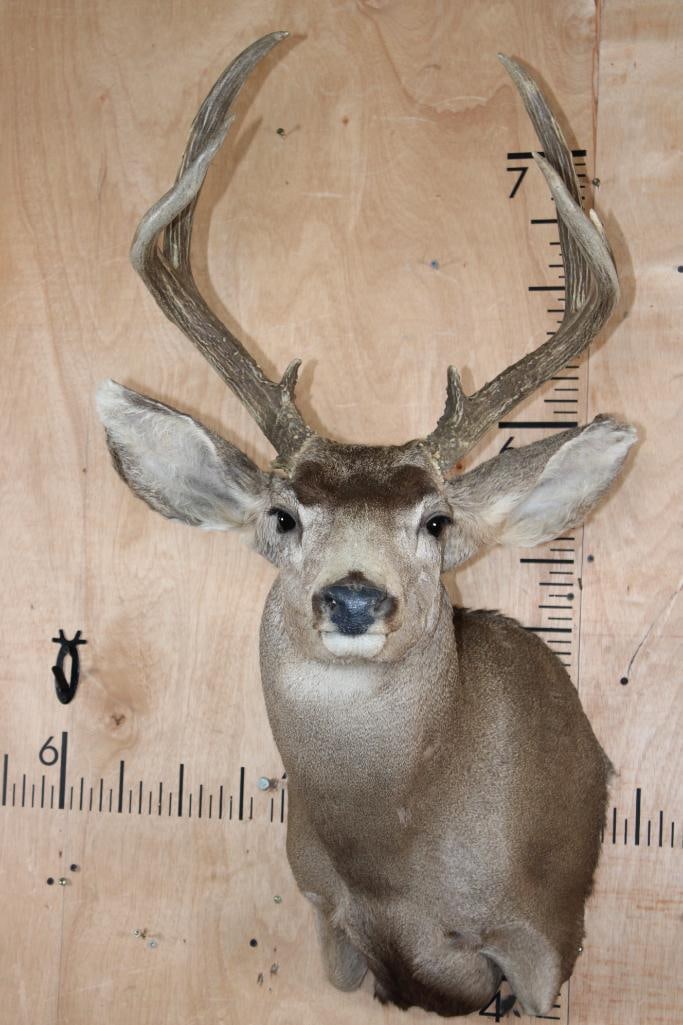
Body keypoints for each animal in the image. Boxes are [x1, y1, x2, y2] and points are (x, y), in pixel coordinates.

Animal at [97, 32, 634, 1018]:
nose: (353, 597)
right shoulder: (327, 921)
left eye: (435, 520)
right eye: (282, 514)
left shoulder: (541, 934)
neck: (395, 865)